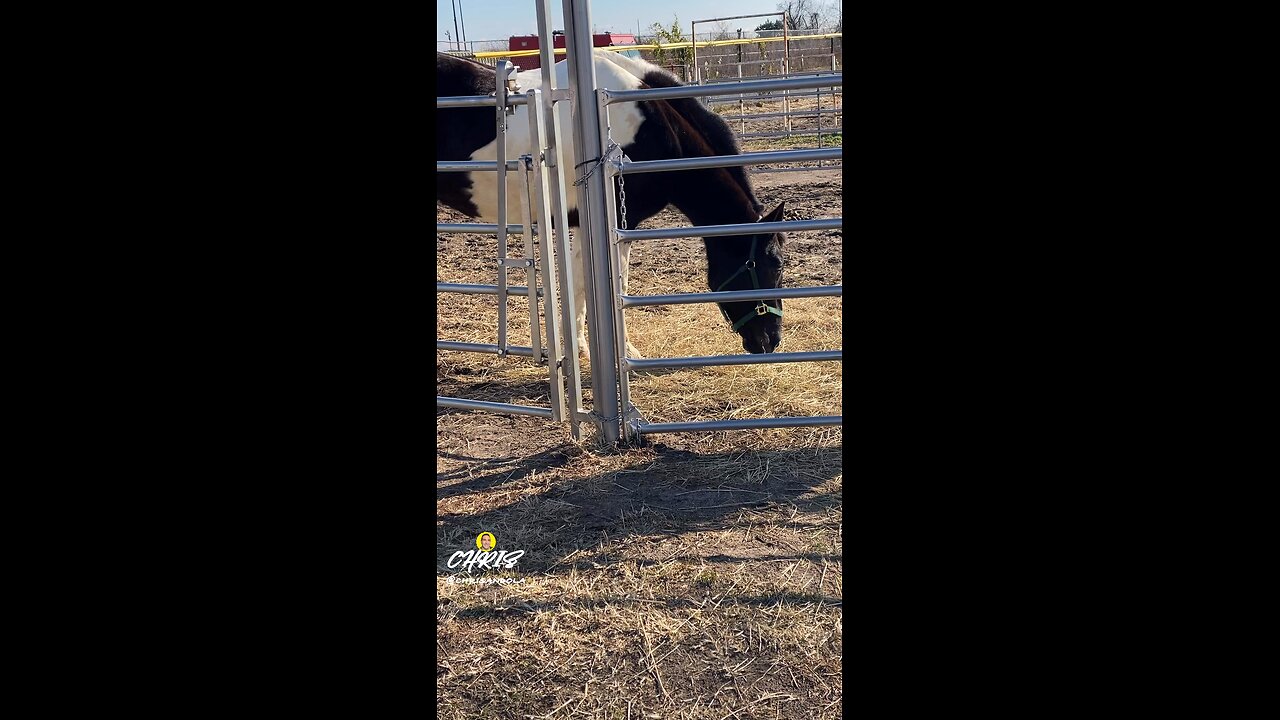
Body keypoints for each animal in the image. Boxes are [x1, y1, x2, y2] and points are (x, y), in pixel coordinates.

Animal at [436, 49, 787, 356]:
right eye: (774, 265)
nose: (770, 341)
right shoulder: (617, 223)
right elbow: (613, 285)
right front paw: (618, 350)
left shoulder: (586, 223)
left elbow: (585, 284)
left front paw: (580, 346)